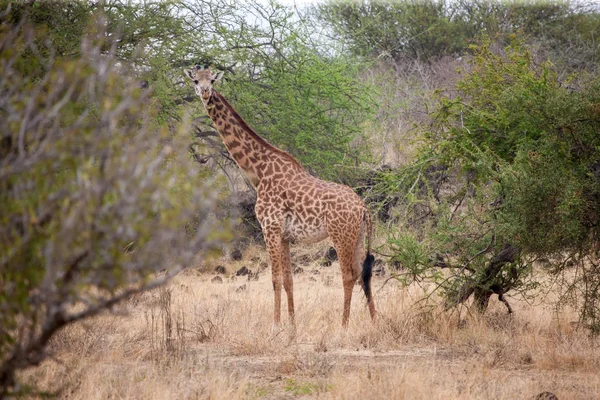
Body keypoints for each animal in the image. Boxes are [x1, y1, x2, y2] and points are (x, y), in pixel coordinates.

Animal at [188, 66, 376, 328]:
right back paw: (375, 322)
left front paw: (276, 324)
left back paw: (344, 325)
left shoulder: (270, 228)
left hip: (341, 236)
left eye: (212, 80)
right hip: (358, 237)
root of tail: (363, 209)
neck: (258, 171)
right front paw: (292, 325)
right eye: (196, 80)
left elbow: (275, 279)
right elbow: (288, 280)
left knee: (348, 276)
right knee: (364, 274)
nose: (205, 93)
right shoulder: (285, 236)